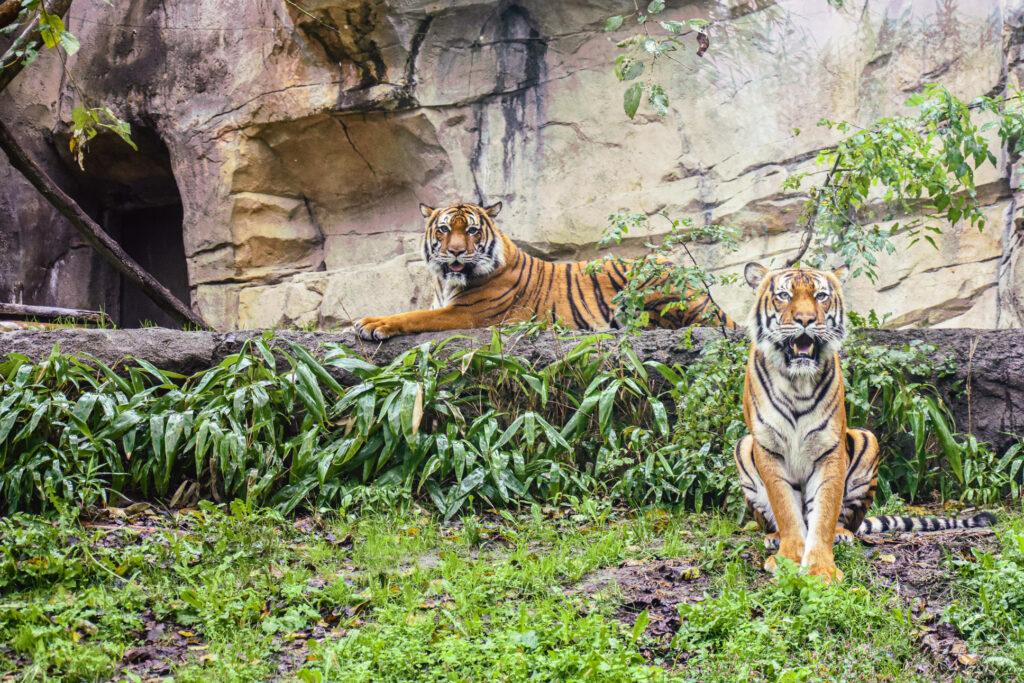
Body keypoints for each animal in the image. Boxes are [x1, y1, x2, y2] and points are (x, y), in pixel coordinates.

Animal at [354, 201, 737, 340]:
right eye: (445, 229)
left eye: (473, 230)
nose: (457, 252)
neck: (445, 283)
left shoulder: (468, 314)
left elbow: (413, 315)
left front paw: (372, 324)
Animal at [734, 262, 995, 583]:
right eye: (784, 295)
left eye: (821, 296)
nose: (806, 319)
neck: (797, 383)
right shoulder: (768, 447)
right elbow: (785, 509)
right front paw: (788, 558)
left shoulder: (829, 448)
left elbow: (824, 512)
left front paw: (821, 570)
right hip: (743, 446)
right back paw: (773, 538)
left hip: (866, 439)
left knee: (846, 522)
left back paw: (841, 534)